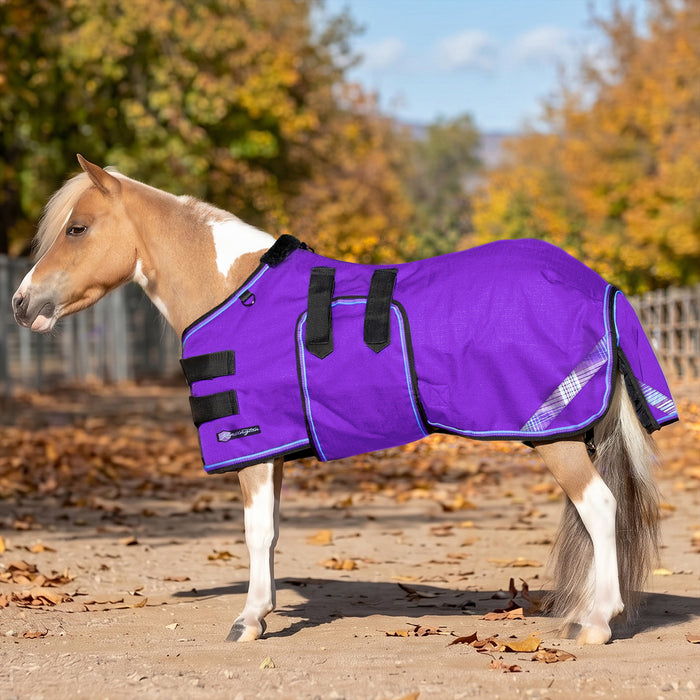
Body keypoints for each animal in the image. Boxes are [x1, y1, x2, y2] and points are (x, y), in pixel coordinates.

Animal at [12, 155, 677, 645]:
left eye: (77, 228)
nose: (22, 303)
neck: (234, 289)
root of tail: (598, 285)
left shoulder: (252, 447)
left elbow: (254, 531)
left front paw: (247, 621)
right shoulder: (274, 451)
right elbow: (271, 533)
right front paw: (263, 611)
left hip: (555, 438)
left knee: (600, 508)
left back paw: (595, 625)